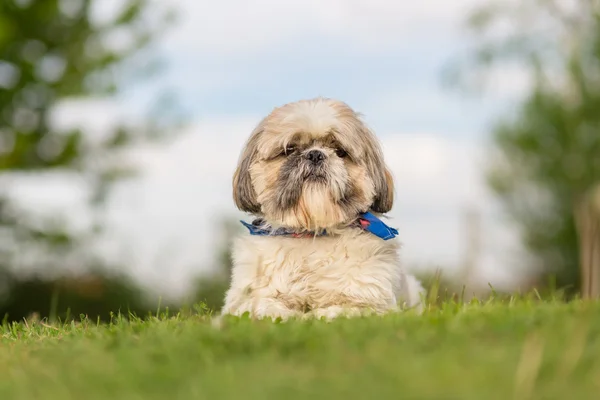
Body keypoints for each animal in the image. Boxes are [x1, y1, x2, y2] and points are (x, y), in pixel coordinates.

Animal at [221, 97, 426, 322]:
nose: (315, 155)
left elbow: (339, 310)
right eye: (289, 149)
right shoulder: (245, 300)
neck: (313, 233)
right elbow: (264, 308)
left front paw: (314, 316)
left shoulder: (372, 304)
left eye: (340, 152)